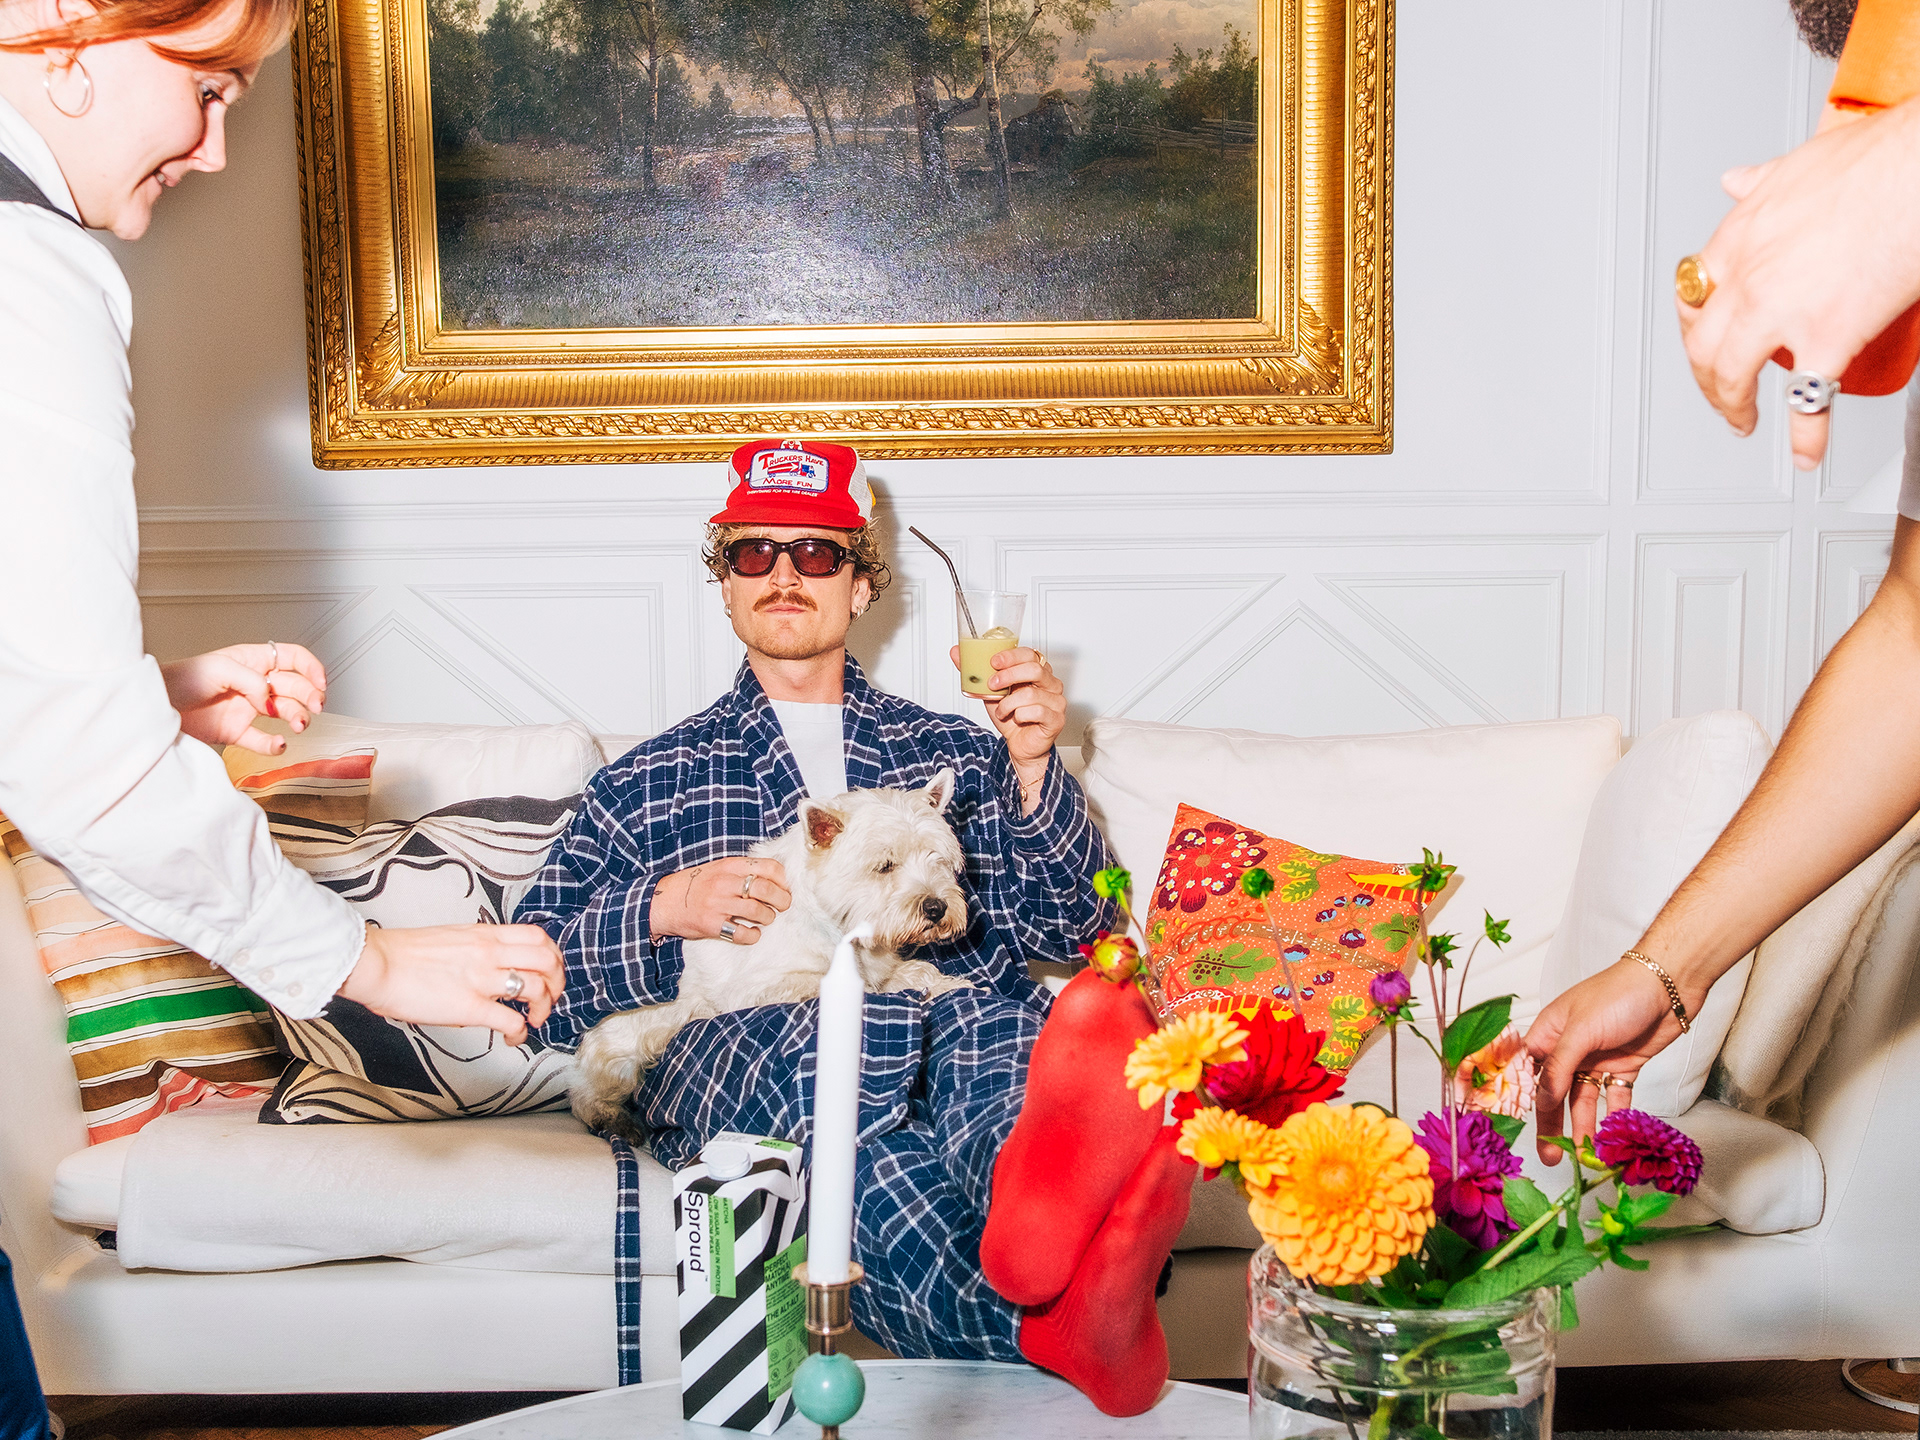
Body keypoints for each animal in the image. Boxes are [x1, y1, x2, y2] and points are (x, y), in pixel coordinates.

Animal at [569, 769, 974, 1137]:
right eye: (884, 865)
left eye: (937, 858)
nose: (936, 908)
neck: (840, 929)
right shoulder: (759, 988)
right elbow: (825, 985)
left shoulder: (882, 965)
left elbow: (914, 973)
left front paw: (951, 984)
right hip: (624, 1048)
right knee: (589, 1090)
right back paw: (614, 1120)